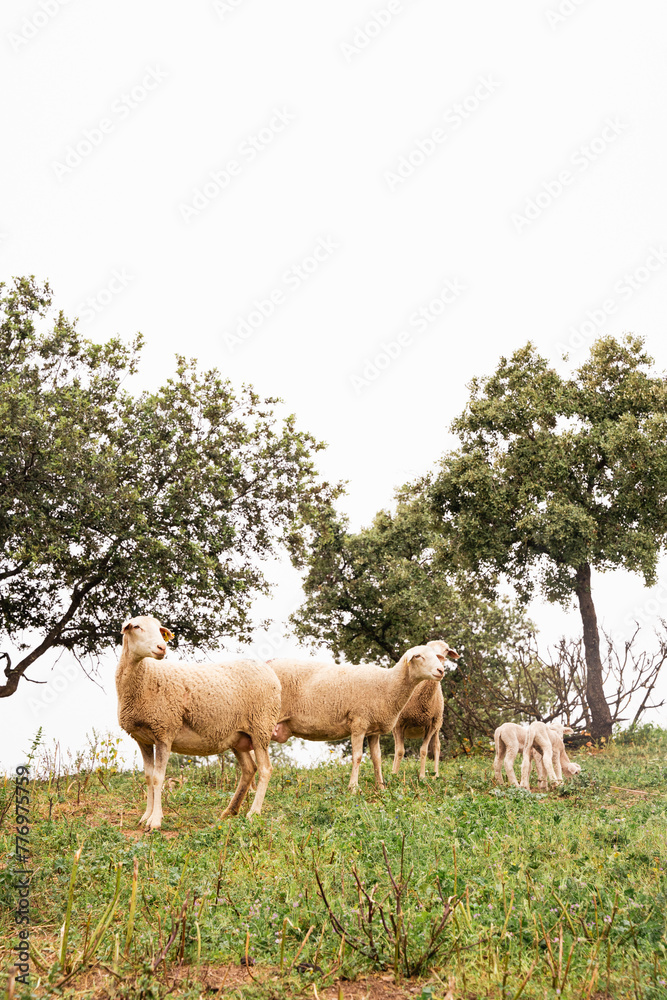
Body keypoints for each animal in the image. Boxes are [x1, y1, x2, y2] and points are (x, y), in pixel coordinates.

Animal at [116, 614, 281, 830]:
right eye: (136, 627)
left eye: (160, 630)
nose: (162, 647)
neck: (146, 677)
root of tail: (269, 670)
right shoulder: (143, 739)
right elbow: (149, 777)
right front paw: (145, 816)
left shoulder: (164, 732)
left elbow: (159, 778)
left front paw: (156, 820)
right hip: (238, 736)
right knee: (249, 769)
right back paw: (229, 812)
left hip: (261, 726)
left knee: (265, 770)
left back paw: (253, 813)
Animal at [268, 645, 447, 789]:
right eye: (419, 656)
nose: (441, 671)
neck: (387, 684)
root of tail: (268, 662)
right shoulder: (359, 723)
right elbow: (358, 757)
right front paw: (353, 788)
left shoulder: (373, 731)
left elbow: (377, 759)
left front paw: (381, 787)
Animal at [391, 640, 460, 779]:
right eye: (427, 649)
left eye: (446, 649)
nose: (440, 667)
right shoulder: (400, 723)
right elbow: (400, 751)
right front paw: (394, 775)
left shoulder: (432, 725)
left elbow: (424, 751)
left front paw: (422, 776)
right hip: (396, 727)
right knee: (396, 748)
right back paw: (392, 770)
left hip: (438, 726)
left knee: (436, 746)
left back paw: (435, 775)